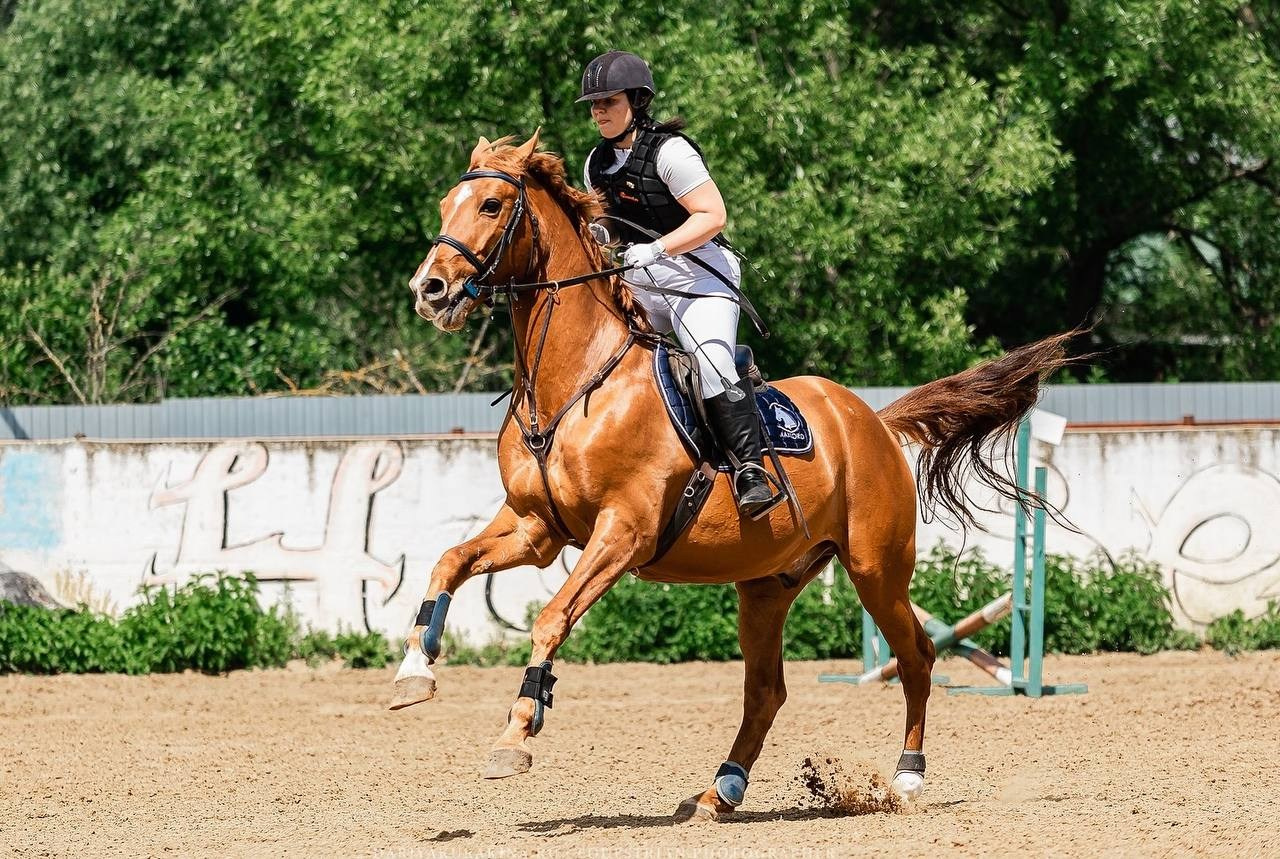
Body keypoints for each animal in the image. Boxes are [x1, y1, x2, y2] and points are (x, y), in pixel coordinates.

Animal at [392, 130, 1073, 820]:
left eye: (492, 205)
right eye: (448, 202)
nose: (429, 290)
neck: (578, 378)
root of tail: (873, 422)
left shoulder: (623, 532)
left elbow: (551, 618)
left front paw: (516, 733)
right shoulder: (538, 530)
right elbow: (449, 562)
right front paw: (413, 674)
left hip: (876, 568)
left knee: (917, 656)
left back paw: (905, 778)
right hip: (768, 586)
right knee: (767, 691)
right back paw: (722, 789)